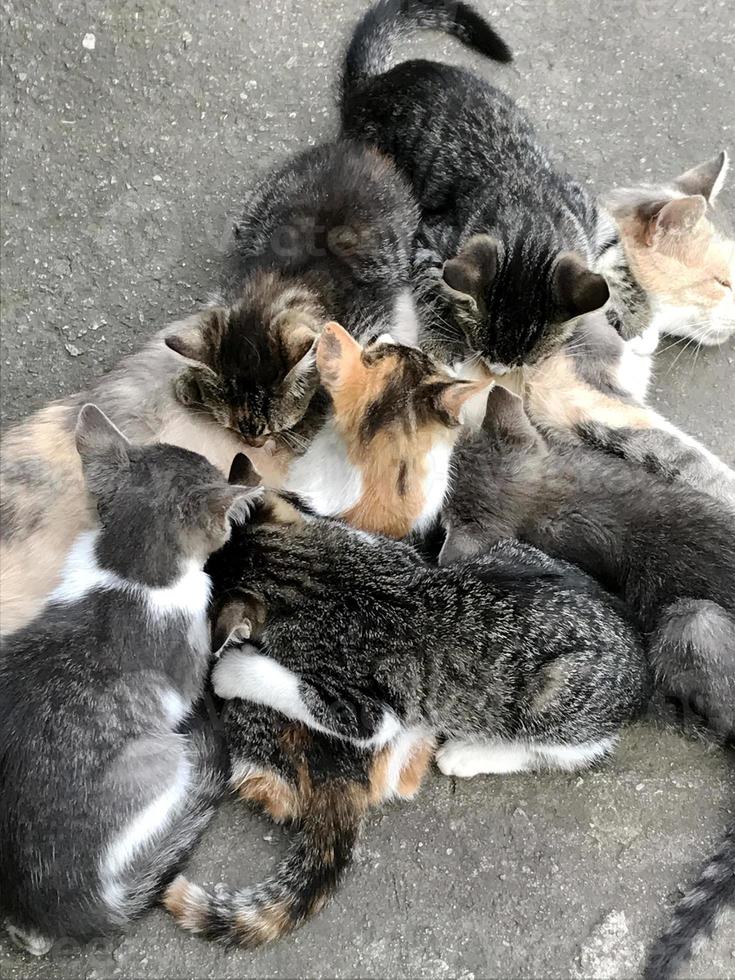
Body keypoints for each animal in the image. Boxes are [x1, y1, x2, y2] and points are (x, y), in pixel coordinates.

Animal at [165, 486, 648, 944]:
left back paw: (468, 754)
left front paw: (232, 670)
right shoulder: (387, 550)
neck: (323, 578)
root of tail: (641, 668)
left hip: (555, 697)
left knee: (567, 751)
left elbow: (303, 693)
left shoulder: (368, 711)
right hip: (513, 552)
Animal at [340, 0, 608, 372]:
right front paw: (443, 340)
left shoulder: (584, 208)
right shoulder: (428, 236)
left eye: (526, 362)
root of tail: (373, 84)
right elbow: (431, 289)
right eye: (482, 348)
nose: (497, 371)